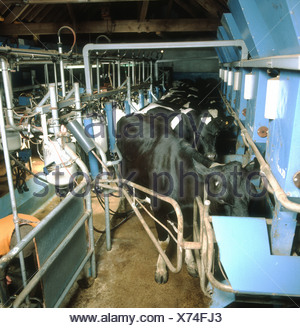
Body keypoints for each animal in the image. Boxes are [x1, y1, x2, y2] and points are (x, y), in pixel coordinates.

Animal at [116, 114, 258, 284]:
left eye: (251, 197)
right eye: (222, 200)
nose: (246, 234)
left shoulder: (189, 215)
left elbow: (187, 237)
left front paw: (190, 263)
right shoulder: (158, 209)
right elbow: (163, 242)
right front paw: (161, 269)